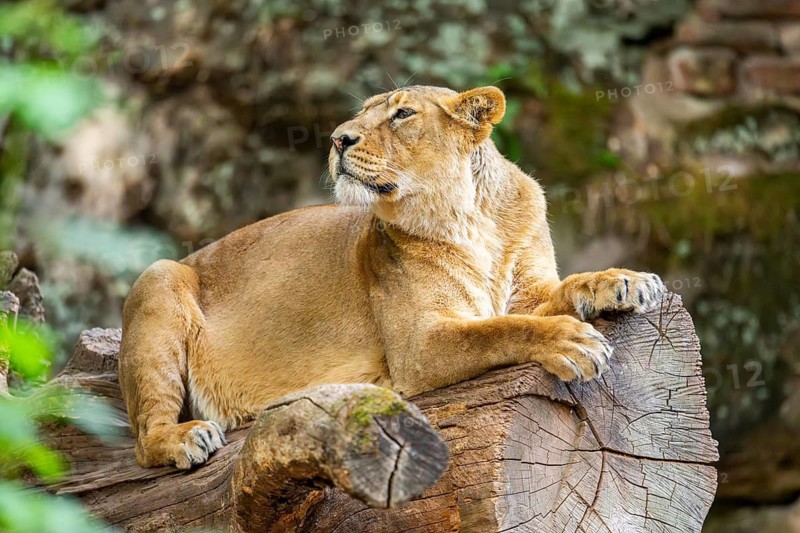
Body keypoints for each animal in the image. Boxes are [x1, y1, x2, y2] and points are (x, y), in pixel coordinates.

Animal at [118, 85, 665, 469]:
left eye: (402, 114)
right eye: (362, 114)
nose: (337, 138)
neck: (469, 219)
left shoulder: (529, 292)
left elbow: (563, 289)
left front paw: (626, 281)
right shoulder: (417, 346)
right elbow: (500, 330)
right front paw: (572, 341)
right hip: (159, 278)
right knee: (144, 439)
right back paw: (186, 437)